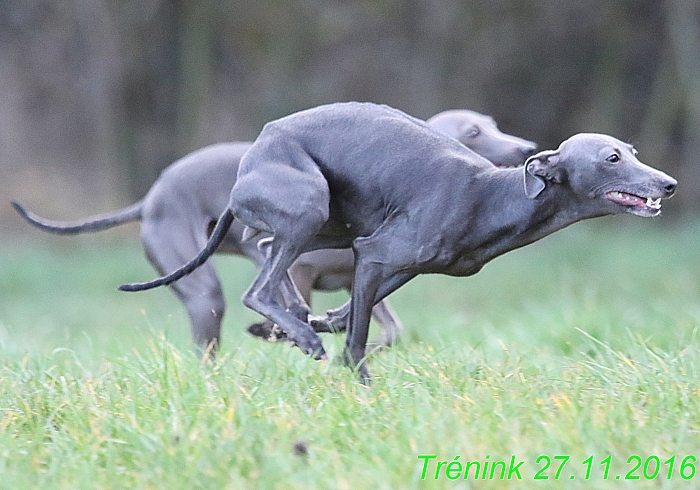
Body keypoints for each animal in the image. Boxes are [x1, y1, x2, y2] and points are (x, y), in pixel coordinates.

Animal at [12, 107, 536, 352]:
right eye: (473, 132)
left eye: (491, 123)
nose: (528, 147)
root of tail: (150, 198)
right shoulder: (307, 269)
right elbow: (294, 301)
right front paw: (285, 331)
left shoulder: (366, 273)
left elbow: (385, 328)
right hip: (209, 291)